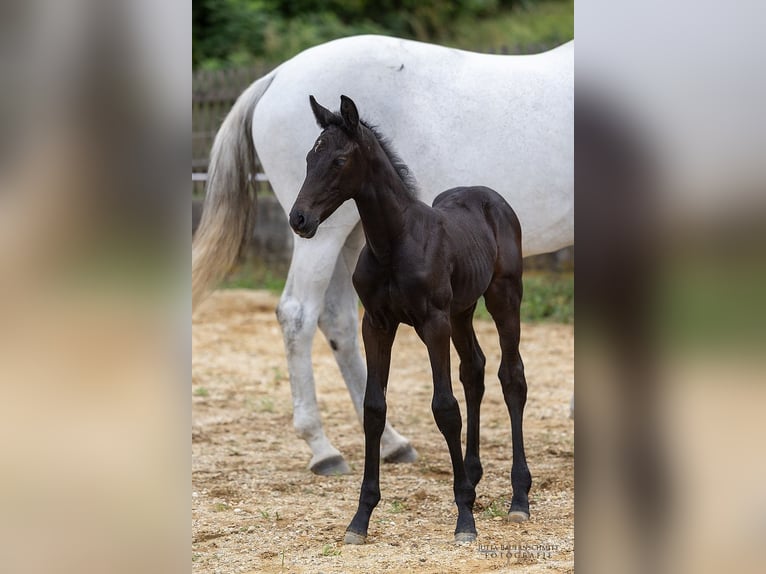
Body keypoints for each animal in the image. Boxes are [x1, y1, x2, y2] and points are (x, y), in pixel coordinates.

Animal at [195, 36, 572, 476]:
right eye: (310, 158)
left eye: (340, 160)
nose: (298, 217)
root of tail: (275, 75)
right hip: (325, 236)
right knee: (297, 314)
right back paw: (322, 447)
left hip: (347, 237)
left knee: (338, 321)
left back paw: (391, 442)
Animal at [290, 94, 536, 544]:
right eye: (308, 157)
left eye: (338, 160)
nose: (299, 219)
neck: (394, 241)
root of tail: (490, 197)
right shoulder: (376, 324)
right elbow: (373, 408)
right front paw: (361, 518)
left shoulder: (432, 323)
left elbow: (445, 408)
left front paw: (464, 519)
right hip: (462, 311)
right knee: (474, 371)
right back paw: (473, 477)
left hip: (504, 297)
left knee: (512, 378)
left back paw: (519, 498)